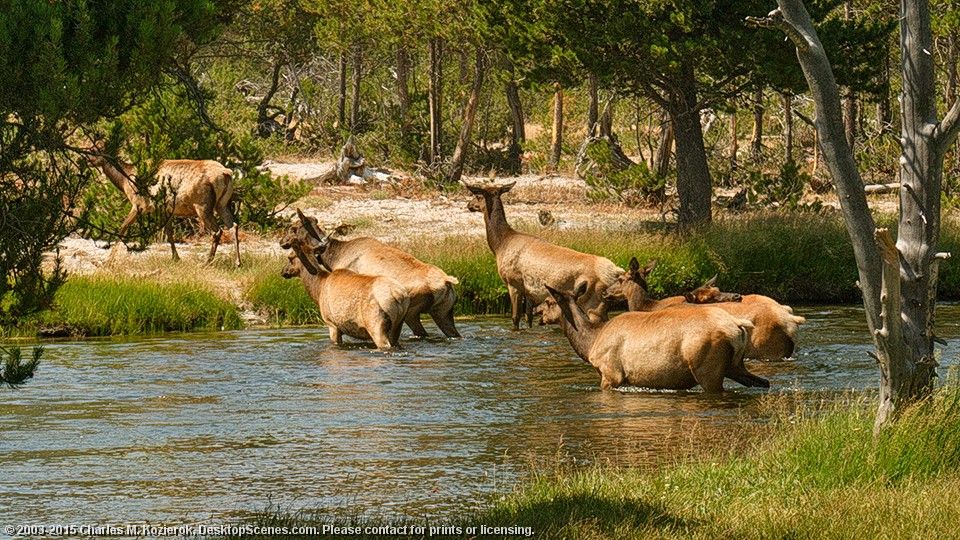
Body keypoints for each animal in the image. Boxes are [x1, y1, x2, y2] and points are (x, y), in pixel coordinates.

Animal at [87, 153, 240, 266]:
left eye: (94, 150)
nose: (84, 159)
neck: (125, 182)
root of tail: (226, 173)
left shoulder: (139, 204)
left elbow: (123, 227)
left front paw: (108, 260)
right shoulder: (166, 210)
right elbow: (169, 233)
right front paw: (176, 258)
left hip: (202, 204)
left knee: (217, 231)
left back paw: (207, 262)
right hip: (223, 203)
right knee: (233, 225)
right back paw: (237, 262)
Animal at [282, 208, 462, 338]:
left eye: (293, 228)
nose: (281, 241)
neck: (333, 256)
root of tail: (447, 281)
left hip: (412, 311)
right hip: (444, 311)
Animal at [464, 181, 624, 330]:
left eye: (478, 196)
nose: (468, 205)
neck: (500, 245)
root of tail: (614, 271)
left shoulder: (513, 282)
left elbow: (515, 318)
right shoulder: (529, 291)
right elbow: (528, 318)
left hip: (593, 300)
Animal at [532, 284, 764, 394]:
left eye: (549, 300)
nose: (535, 310)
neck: (589, 343)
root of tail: (738, 326)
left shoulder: (611, 374)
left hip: (708, 368)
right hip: (735, 366)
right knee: (764, 382)